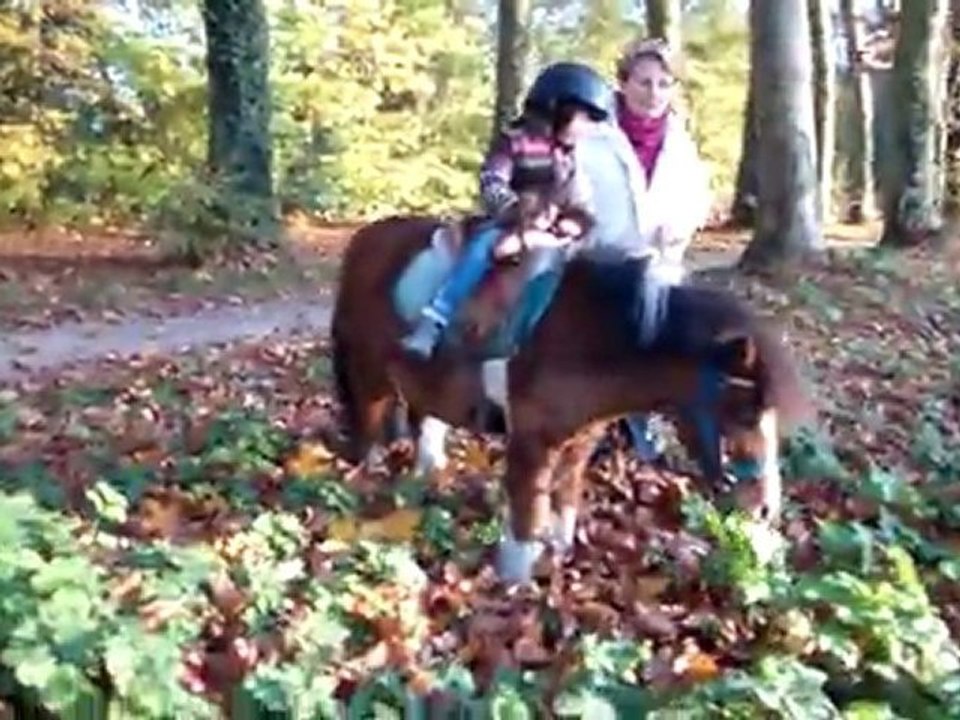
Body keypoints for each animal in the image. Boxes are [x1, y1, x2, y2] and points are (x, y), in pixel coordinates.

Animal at [329, 213, 814, 583]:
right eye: (746, 413)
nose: (767, 508)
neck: (586, 333)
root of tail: (363, 241)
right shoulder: (531, 442)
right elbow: (527, 515)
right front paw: (515, 583)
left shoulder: (578, 439)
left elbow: (564, 499)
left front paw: (559, 555)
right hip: (369, 373)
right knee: (369, 429)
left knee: (423, 423)